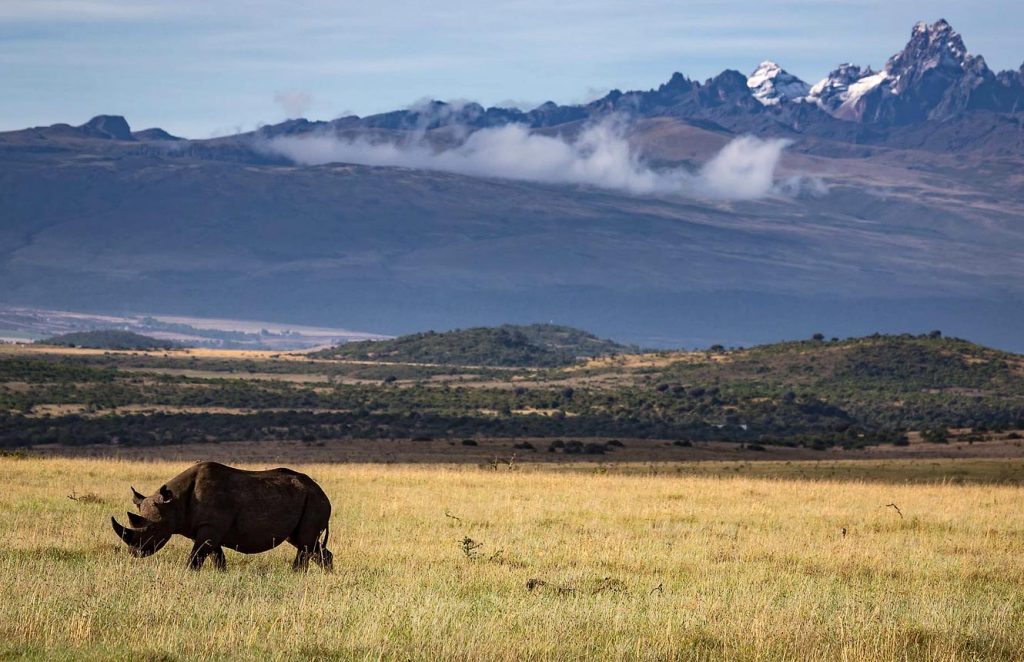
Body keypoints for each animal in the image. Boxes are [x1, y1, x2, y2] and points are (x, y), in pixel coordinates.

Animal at [111, 461, 333, 571]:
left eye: (154, 529)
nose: (135, 552)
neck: (174, 502)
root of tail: (323, 492)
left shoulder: (210, 528)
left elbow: (196, 557)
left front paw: (188, 573)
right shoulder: (209, 529)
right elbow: (216, 557)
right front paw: (221, 574)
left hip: (314, 501)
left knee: (305, 542)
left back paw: (296, 574)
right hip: (305, 499)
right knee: (305, 542)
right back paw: (325, 573)